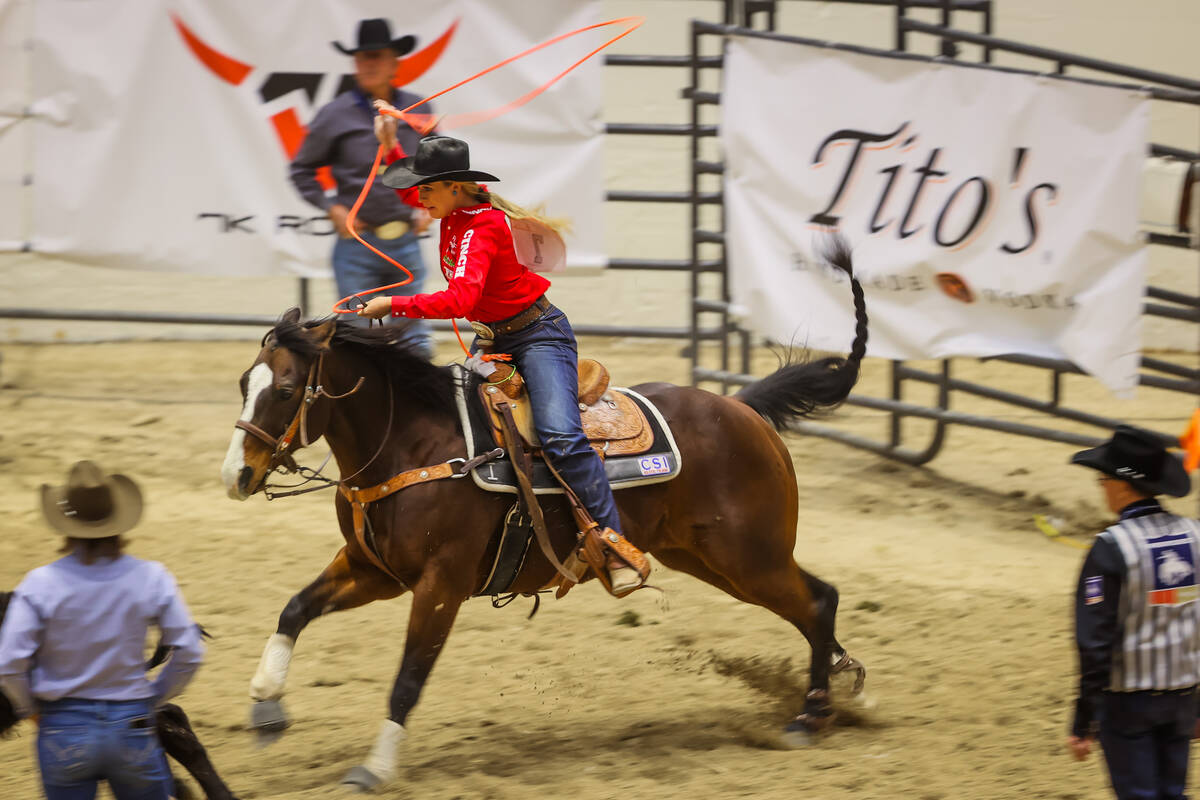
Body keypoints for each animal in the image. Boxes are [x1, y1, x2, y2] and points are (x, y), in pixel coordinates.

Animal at [218, 241, 873, 791]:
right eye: (243, 382)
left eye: (283, 390)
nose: (236, 477)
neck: (415, 443)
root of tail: (745, 410)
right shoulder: (372, 569)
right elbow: (295, 608)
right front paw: (265, 705)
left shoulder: (440, 584)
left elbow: (407, 680)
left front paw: (373, 769)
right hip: (710, 559)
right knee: (813, 604)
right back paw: (841, 686)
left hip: (748, 555)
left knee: (818, 600)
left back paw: (811, 714)